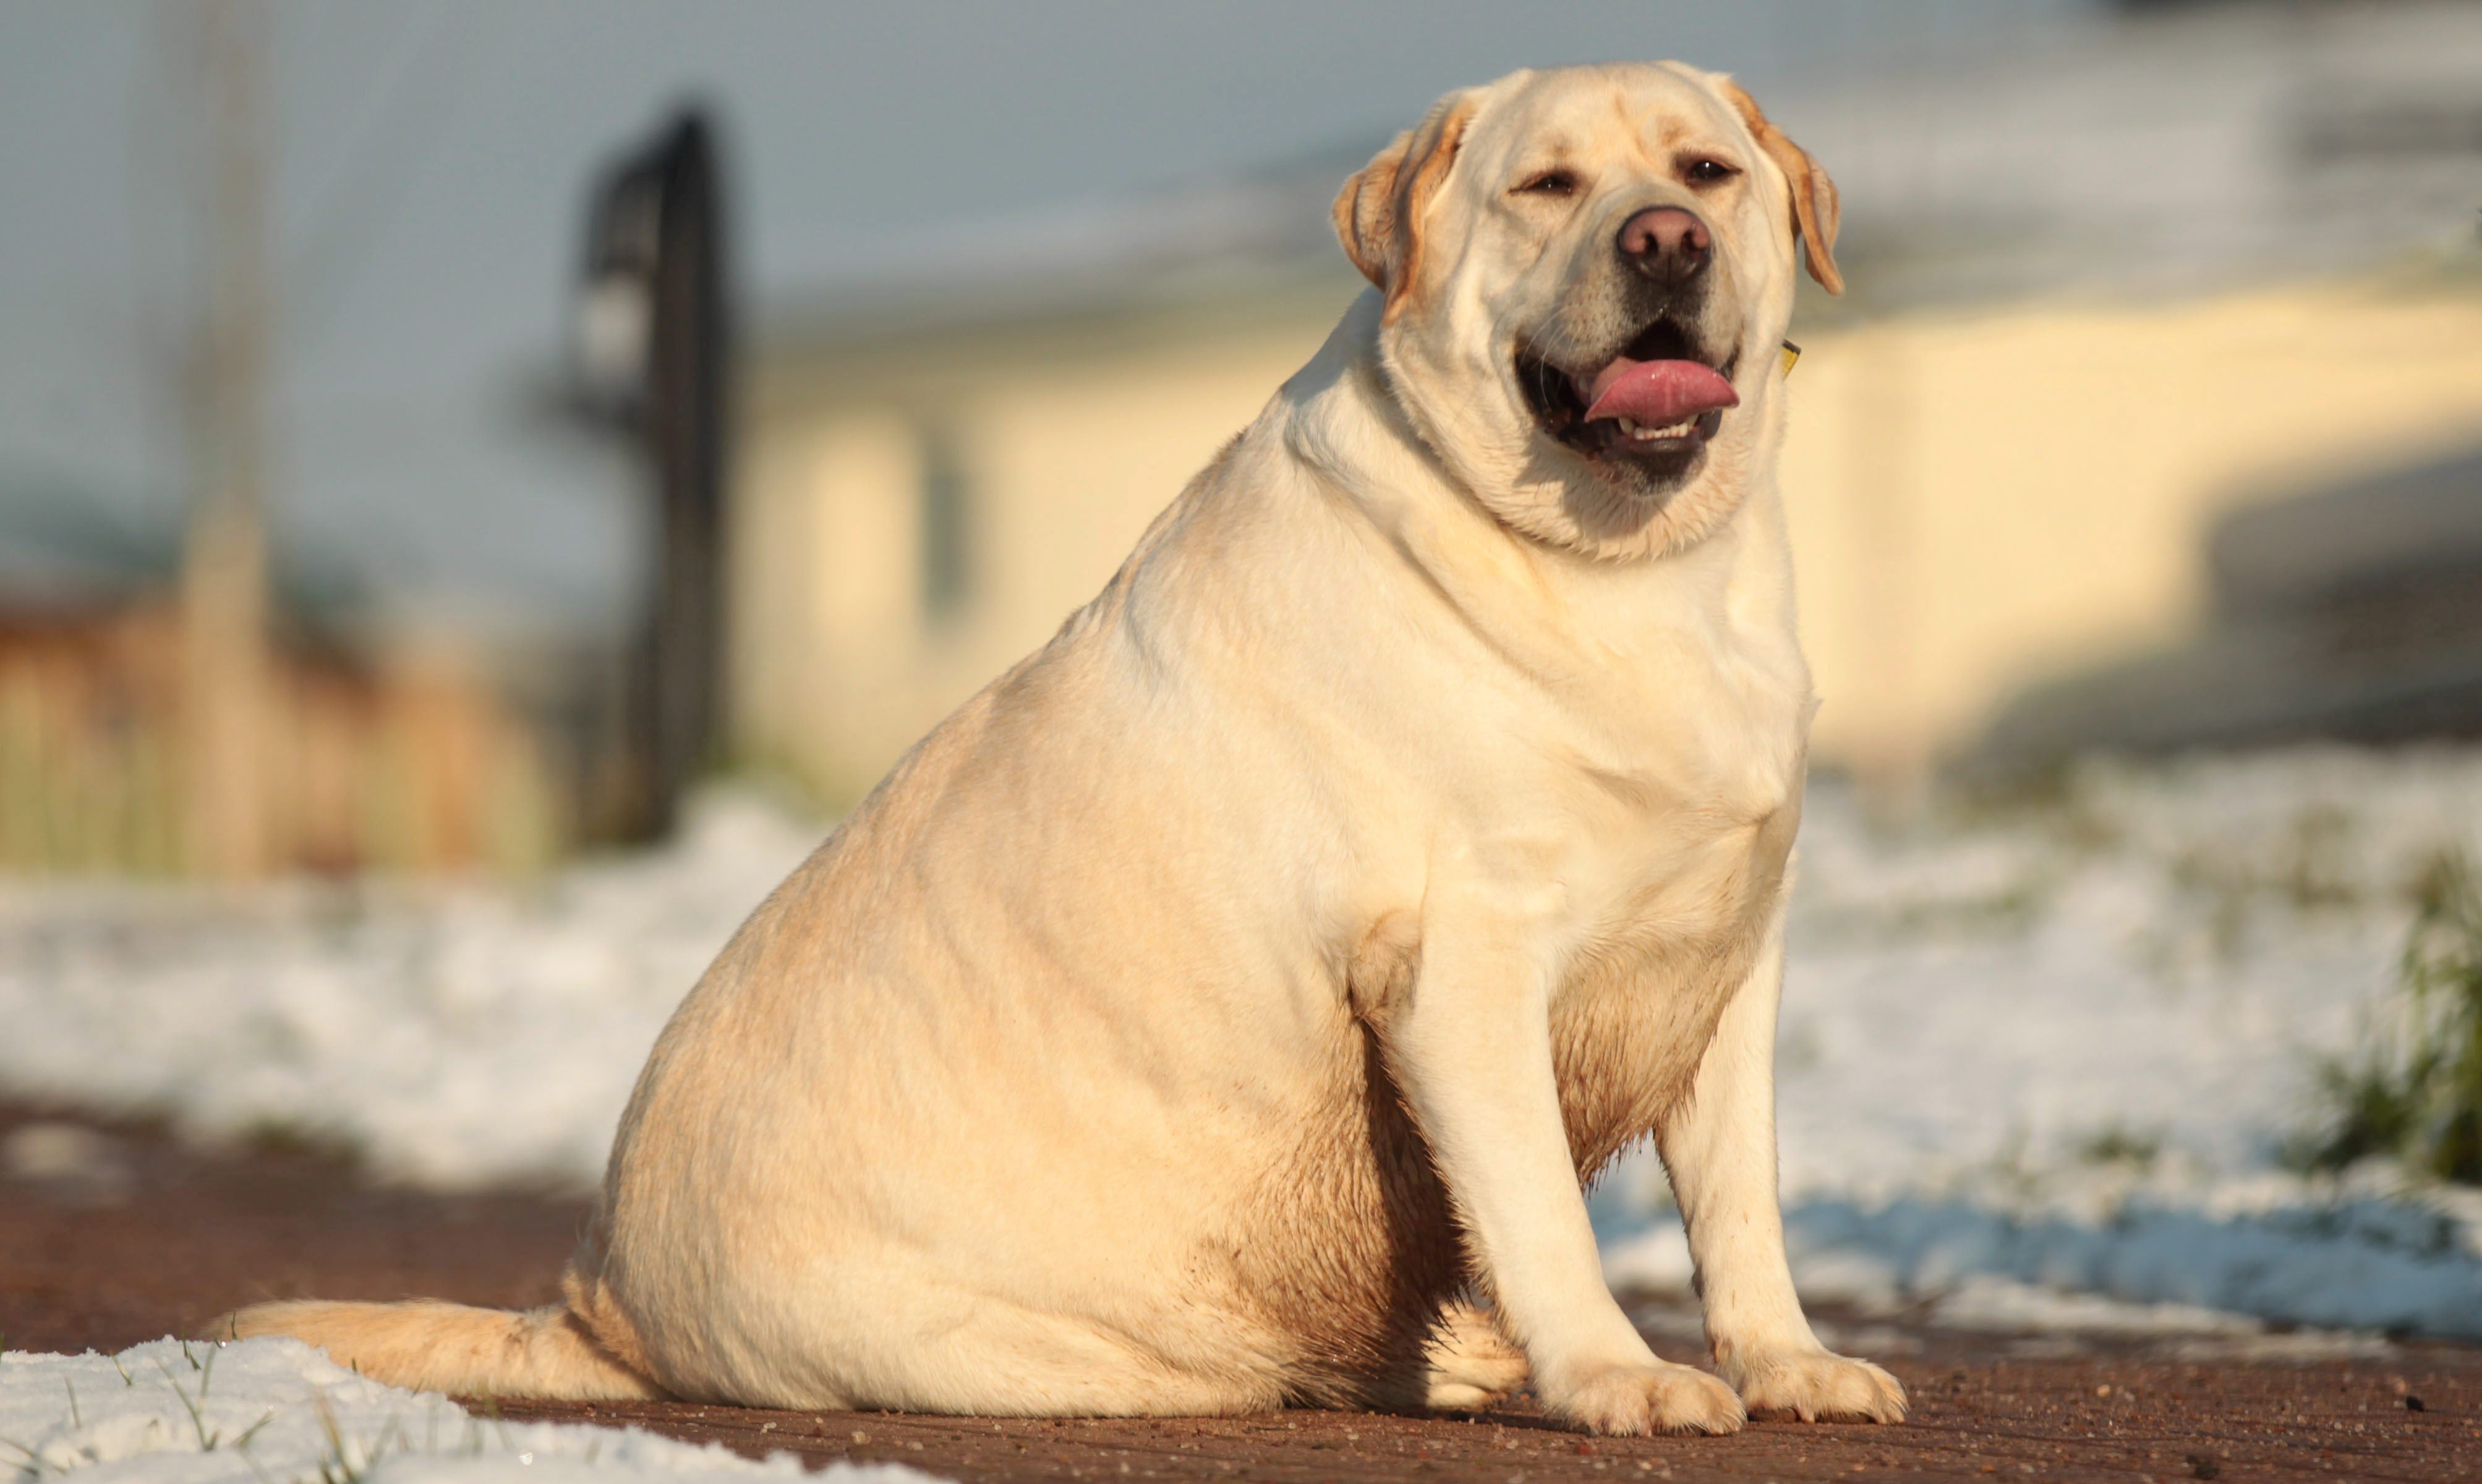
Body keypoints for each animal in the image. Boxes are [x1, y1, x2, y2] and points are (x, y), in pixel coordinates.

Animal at [233, 61, 1896, 1439]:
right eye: (1546, 186)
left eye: (1704, 170)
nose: (1664, 241)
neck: (1632, 571)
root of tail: (592, 1302)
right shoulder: (1463, 968)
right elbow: (1543, 1204)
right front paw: (1615, 1372)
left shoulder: (1727, 959)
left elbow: (1741, 1203)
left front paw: (1788, 1360)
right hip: (1082, 1340)